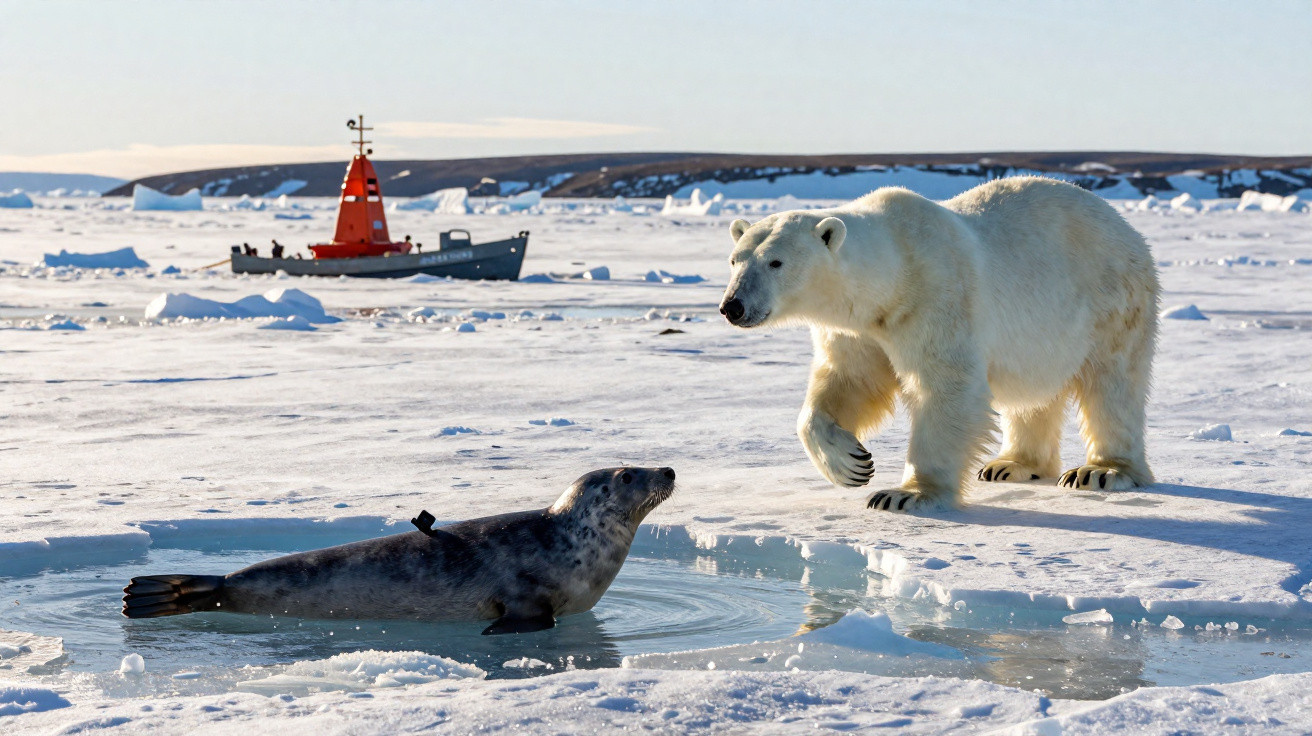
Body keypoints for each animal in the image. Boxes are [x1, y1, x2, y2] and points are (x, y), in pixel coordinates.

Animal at [719, 176, 1159, 511]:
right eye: (735, 259)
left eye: (776, 262)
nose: (732, 306)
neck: (891, 274)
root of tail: (1123, 223)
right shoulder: (857, 330)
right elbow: (847, 382)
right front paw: (851, 464)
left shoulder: (936, 300)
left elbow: (946, 390)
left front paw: (907, 495)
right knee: (1034, 394)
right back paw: (1011, 464)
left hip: (1112, 300)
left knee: (1112, 384)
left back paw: (1102, 470)